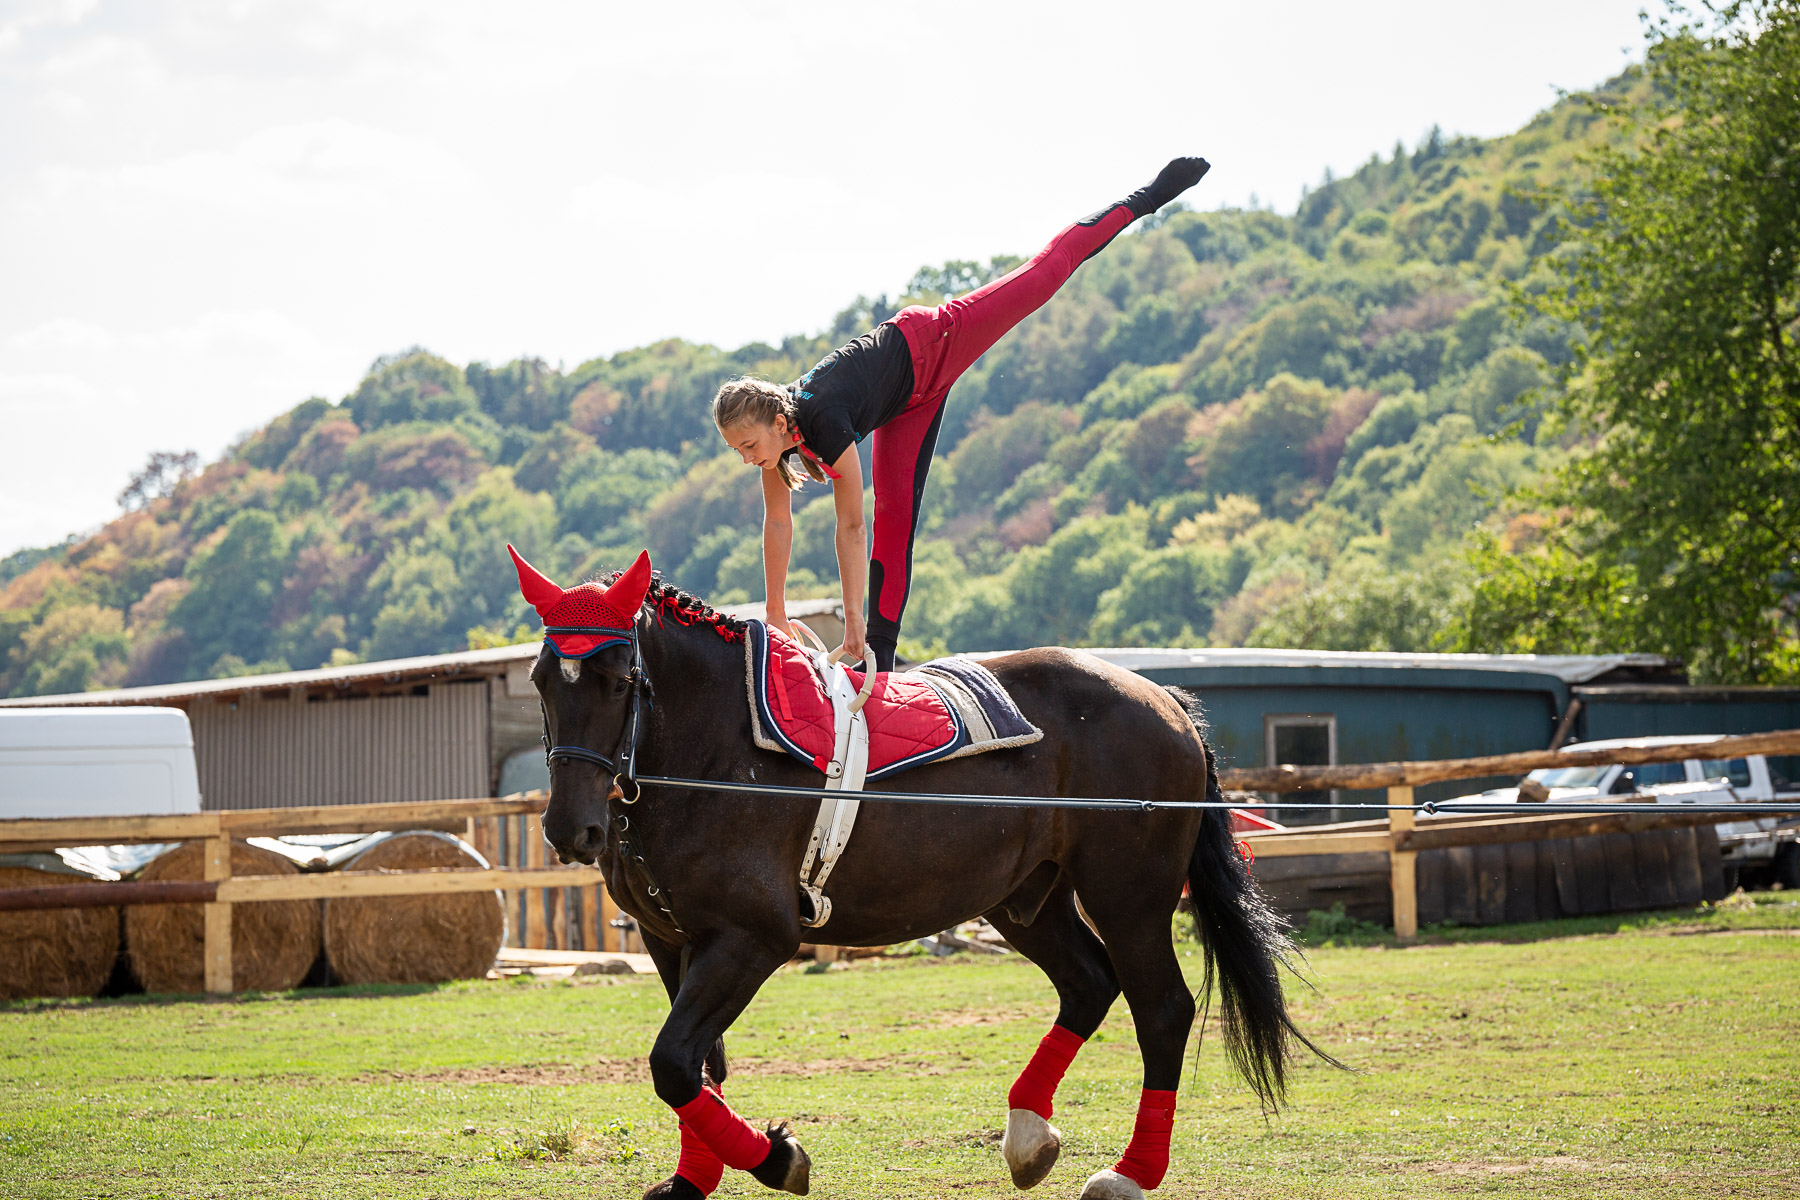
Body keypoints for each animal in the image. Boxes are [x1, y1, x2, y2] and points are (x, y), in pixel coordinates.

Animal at [510, 546, 1327, 1200]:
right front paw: (692, 1180)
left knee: (1161, 1009)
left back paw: (1129, 1174)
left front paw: (777, 1159)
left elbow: (673, 1064)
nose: (570, 830)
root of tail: (1166, 701)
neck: (712, 751)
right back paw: (1029, 1136)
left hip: (1129, 898)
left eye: (621, 680)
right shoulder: (669, 941)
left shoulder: (754, 938)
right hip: (1024, 899)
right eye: (544, 679)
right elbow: (698, 1066)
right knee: (1089, 984)